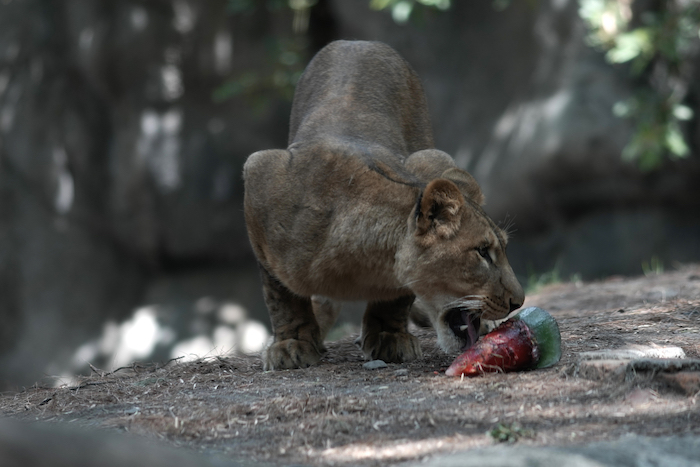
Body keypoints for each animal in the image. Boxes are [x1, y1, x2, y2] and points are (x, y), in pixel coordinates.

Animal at [243, 40, 524, 370]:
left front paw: (390, 337)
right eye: (482, 252)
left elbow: (398, 295)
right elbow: (280, 294)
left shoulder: (427, 161)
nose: (518, 302)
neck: (359, 264)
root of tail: (356, 41)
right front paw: (292, 344)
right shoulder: (260, 172)